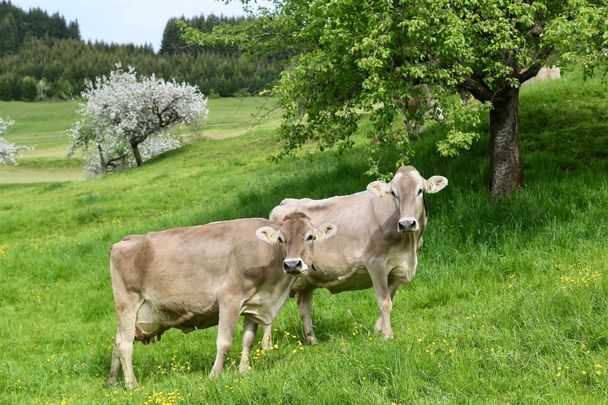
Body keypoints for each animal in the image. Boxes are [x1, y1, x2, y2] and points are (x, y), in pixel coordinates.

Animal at [108, 210, 338, 386]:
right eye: (281, 239)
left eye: (310, 237)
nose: (292, 264)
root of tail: (127, 239)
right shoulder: (229, 299)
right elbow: (225, 342)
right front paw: (215, 374)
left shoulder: (254, 304)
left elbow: (248, 340)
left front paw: (244, 370)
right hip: (127, 303)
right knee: (126, 345)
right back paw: (131, 384)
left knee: (117, 341)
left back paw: (112, 381)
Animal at [262, 166, 446, 346]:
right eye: (393, 193)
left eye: (420, 191)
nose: (407, 223)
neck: (409, 245)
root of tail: (284, 203)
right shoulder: (375, 262)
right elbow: (384, 302)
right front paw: (387, 335)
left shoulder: (396, 267)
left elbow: (390, 299)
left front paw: (378, 330)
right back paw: (267, 347)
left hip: (306, 279)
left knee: (304, 307)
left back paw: (312, 340)